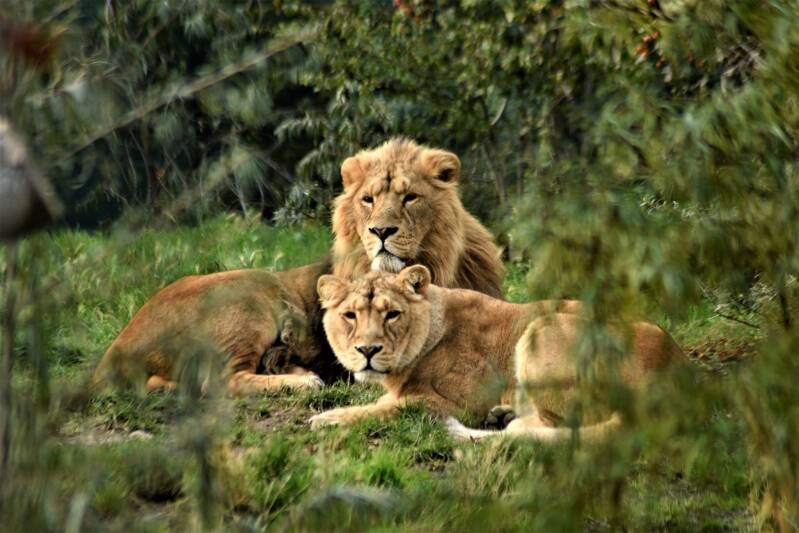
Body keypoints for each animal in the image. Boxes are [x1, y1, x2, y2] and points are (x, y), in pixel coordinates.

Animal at [94, 139, 506, 395]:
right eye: (369, 200)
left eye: (410, 198)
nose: (381, 231)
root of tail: (114, 351)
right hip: (252, 291)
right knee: (222, 382)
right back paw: (302, 382)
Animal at [309, 266, 686, 442]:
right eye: (350, 315)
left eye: (392, 314)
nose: (368, 350)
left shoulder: (458, 402)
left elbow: (386, 407)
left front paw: (328, 419)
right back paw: (501, 415)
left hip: (542, 327)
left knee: (553, 424)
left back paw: (507, 421)